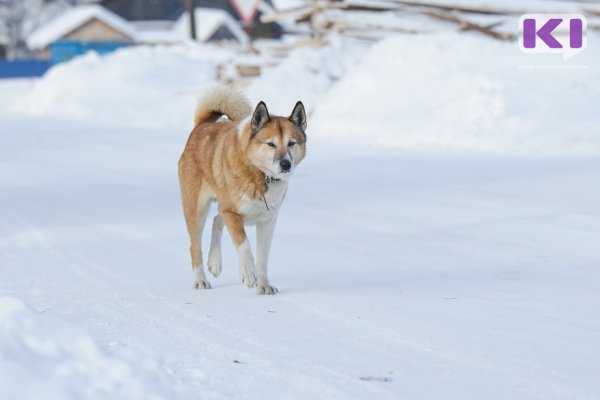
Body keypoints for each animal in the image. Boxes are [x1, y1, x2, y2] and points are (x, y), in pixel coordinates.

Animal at [177, 86, 308, 294]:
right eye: (271, 144)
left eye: (291, 143)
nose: (286, 164)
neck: (259, 173)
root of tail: (202, 125)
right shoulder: (233, 214)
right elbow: (244, 244)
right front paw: (248, 274)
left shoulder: (267, 221)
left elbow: (262, 258)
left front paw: (264, 285)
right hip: (196, 209)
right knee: (195, 246)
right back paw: (200, 280)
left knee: (217, 220)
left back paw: (215, 263)